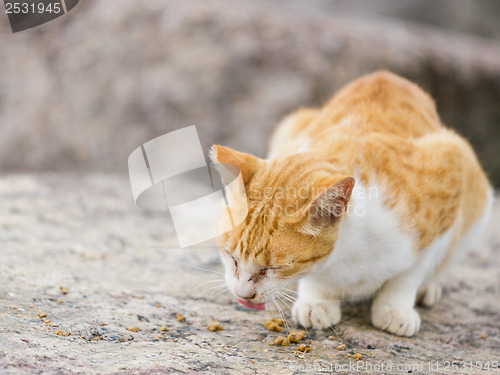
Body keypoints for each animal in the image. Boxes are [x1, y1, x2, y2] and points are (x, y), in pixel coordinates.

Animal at [208, 70, 492, 338]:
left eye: (276, 268)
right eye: (231, 257)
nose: (243, 294)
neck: (347, 254)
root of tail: (386, 75)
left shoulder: (448, 174)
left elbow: (409, 274)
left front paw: (395, 307)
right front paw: (318, 300)